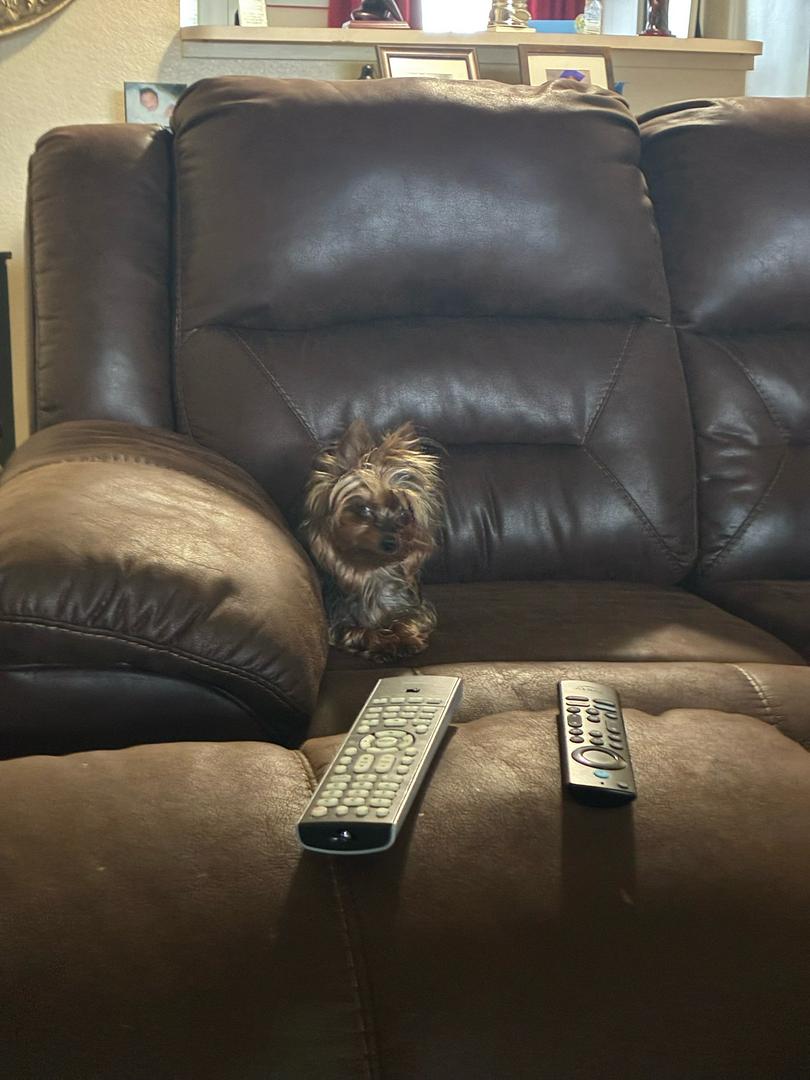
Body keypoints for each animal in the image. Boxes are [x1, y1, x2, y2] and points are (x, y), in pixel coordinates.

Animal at [302, 419, 443, 663]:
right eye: (364, 509)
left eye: (405, 514)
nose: (391, 542)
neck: (376, 572)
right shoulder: (340, 623)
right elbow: (362, 631)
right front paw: (385, 643)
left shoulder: (419, 610)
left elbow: (407, 620)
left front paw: (406, 638)